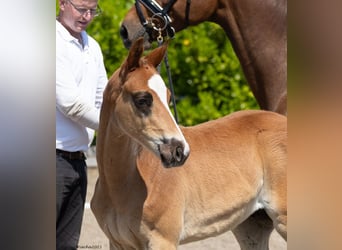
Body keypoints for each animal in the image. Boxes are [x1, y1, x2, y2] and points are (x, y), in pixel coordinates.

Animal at [91, 38, 286, 249]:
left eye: (169, 97)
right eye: (142, 99)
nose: (179, 151)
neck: (120, 186)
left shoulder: (163, 240)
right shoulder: (117, 243)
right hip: (250, 226)